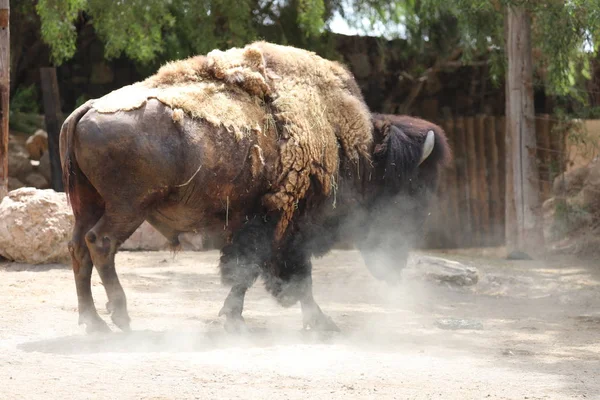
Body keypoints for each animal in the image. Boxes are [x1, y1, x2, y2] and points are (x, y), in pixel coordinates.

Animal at [59, 43, 450, 334]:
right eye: (411, 190)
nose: (397, 262)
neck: (347, 146)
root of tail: (86, 109)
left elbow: (261, 274)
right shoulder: (282, 225)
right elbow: (269, 273)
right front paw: (308, 321)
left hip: (88, 203)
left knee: (78, 248)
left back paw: (94, 323)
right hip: (128, 207)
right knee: (100, 243)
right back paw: (121, 317)